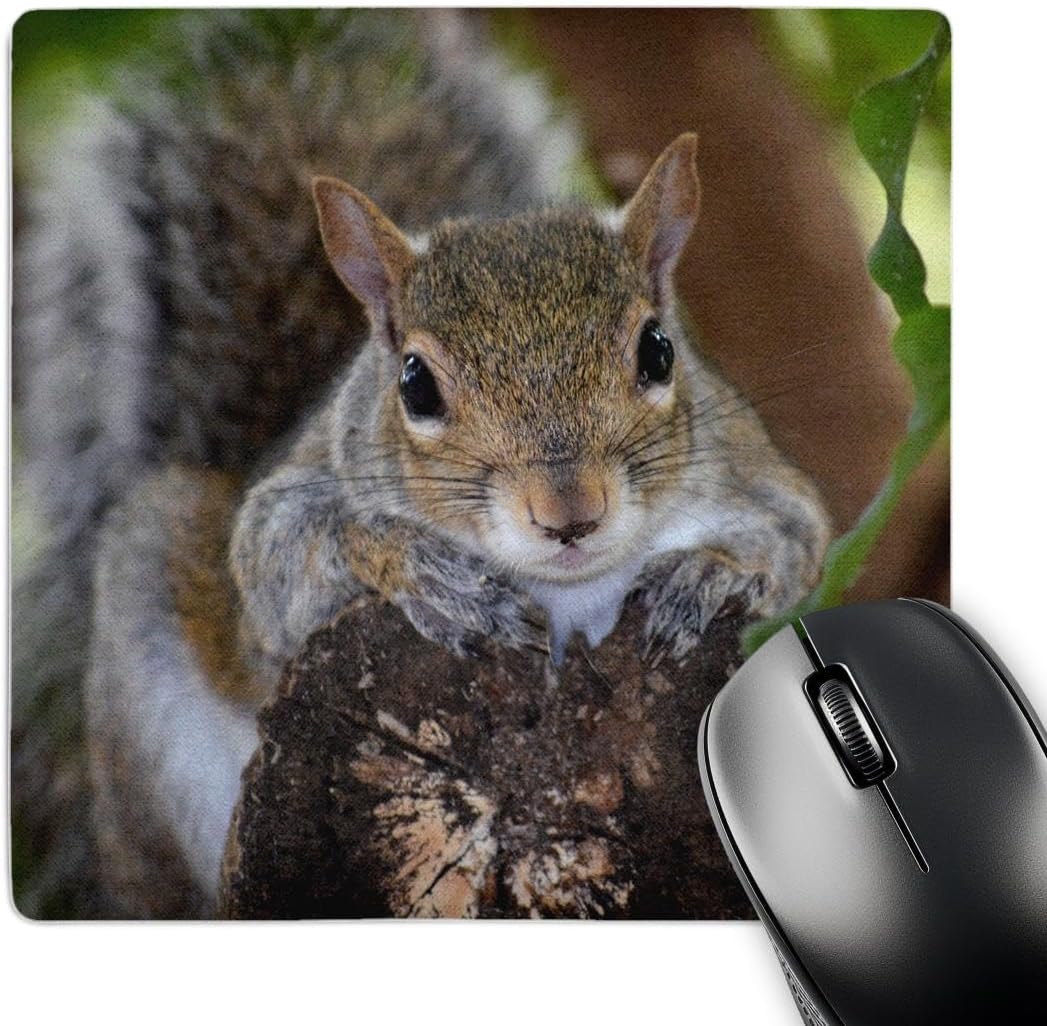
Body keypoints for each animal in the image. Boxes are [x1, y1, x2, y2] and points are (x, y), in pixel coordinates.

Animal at [13, 11, 830, 915]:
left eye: (658, 351)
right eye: (415, 383)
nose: (569, 514)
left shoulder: (756, 478)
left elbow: (794, 543)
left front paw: (707, 573)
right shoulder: (289, 524)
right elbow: (283, 570)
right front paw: (427, 574)